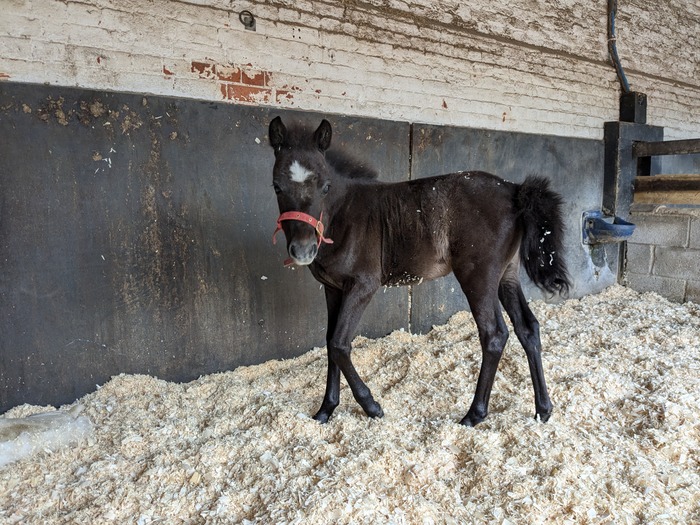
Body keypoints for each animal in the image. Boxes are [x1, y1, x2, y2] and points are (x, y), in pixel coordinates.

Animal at [268, 116, 571, 426]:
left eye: (326, 187)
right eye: (277, 187)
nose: (303, 250)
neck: (342, 216)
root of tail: (515, 190)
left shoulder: (363, 285)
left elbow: (339, 344)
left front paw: (372, 406)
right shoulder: (333, 289)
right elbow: (329, 343)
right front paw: (325, 410)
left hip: (479, 276)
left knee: (494, 335)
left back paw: (474, 414)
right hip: (506, 276)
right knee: (528, 328)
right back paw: (543, 409)